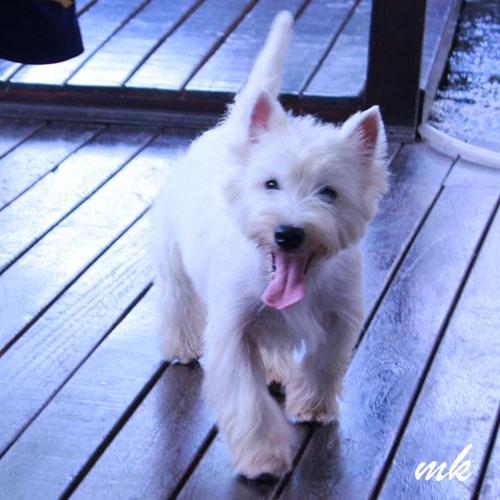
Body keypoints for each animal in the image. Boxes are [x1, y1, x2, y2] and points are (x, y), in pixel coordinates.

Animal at [151, 11, 388, 479]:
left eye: (329, 192)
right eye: (271, 184)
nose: (288, 233)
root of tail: (232, 129)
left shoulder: (340, 315)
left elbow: (322, 362)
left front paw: (311, 407)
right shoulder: (232, 329)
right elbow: (248, 400)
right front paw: (262, 458)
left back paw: (278, 372)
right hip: (173, 257)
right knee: (178, 300)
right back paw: (182, 346)